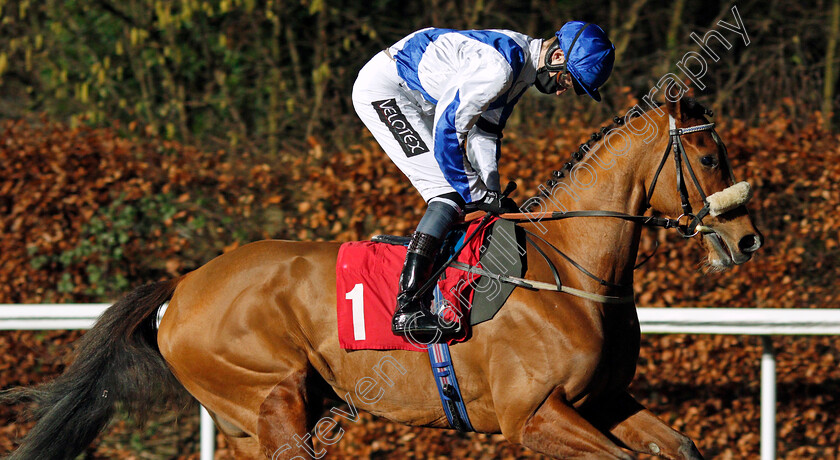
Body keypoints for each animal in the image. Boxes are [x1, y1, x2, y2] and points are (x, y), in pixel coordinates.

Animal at [1, 98, 760, 460]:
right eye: (709, 155)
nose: (747, 238)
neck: (567, 268)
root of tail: (183, 285)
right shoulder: (534, 416)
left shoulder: (601, 400)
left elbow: (681, 445)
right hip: (271, 397)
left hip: (249, 422)